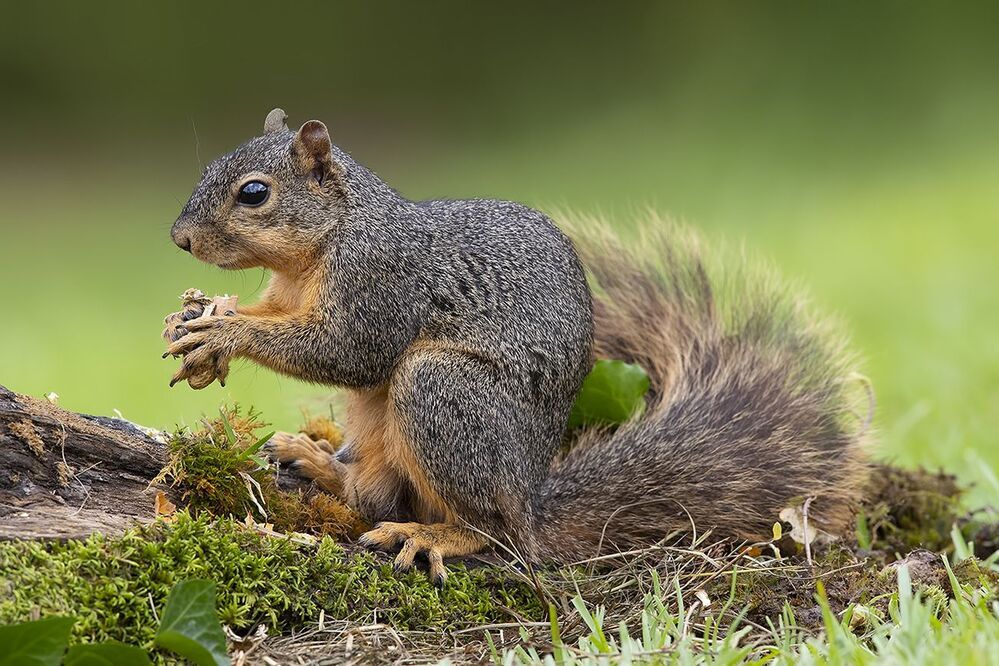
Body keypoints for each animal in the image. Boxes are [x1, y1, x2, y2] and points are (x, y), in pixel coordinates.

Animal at [165, 108, 869, 583]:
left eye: (255, 192)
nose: (179, 239)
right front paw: (199, 317)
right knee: (373, 497)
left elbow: (345, 352)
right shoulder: (288, 293)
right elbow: (279, 321)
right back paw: (318, 464)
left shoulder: (380, 282)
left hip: (443, 394)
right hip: (379, 422)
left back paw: (439, 536)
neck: (329, 238)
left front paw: (223, 330)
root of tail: (531, 498)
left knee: (491, 531)